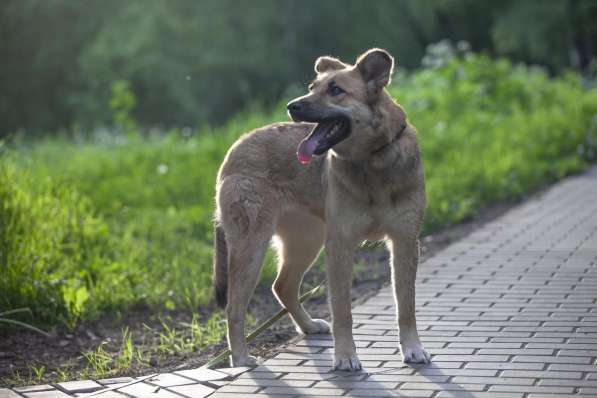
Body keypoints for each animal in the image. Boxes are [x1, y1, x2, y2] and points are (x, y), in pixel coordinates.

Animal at [212, 49, 426, 370]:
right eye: (312, 87)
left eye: (335, 90)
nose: (292, 106)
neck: (372, 160)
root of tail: (236, 146)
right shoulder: (340, 245)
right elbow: (343, 311)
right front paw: (345, 356)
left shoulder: (405, 242)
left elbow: (406, 305)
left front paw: (413, 348)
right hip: (251, 247)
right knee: (235, 307)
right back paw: (240, 358)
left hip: (306, 241)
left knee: (283, 286)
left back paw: (309, 326)